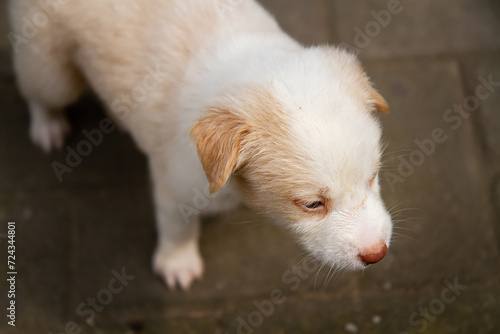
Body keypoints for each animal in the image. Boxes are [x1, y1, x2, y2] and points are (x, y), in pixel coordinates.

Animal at [6, 0, 390, 290]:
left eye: (373, 177)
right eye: (312, 204)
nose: (378, 254)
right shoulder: (175, 185)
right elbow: (178, 228)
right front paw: (177, 264)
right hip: (50, 66)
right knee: (37, 90)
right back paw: (47, 126)